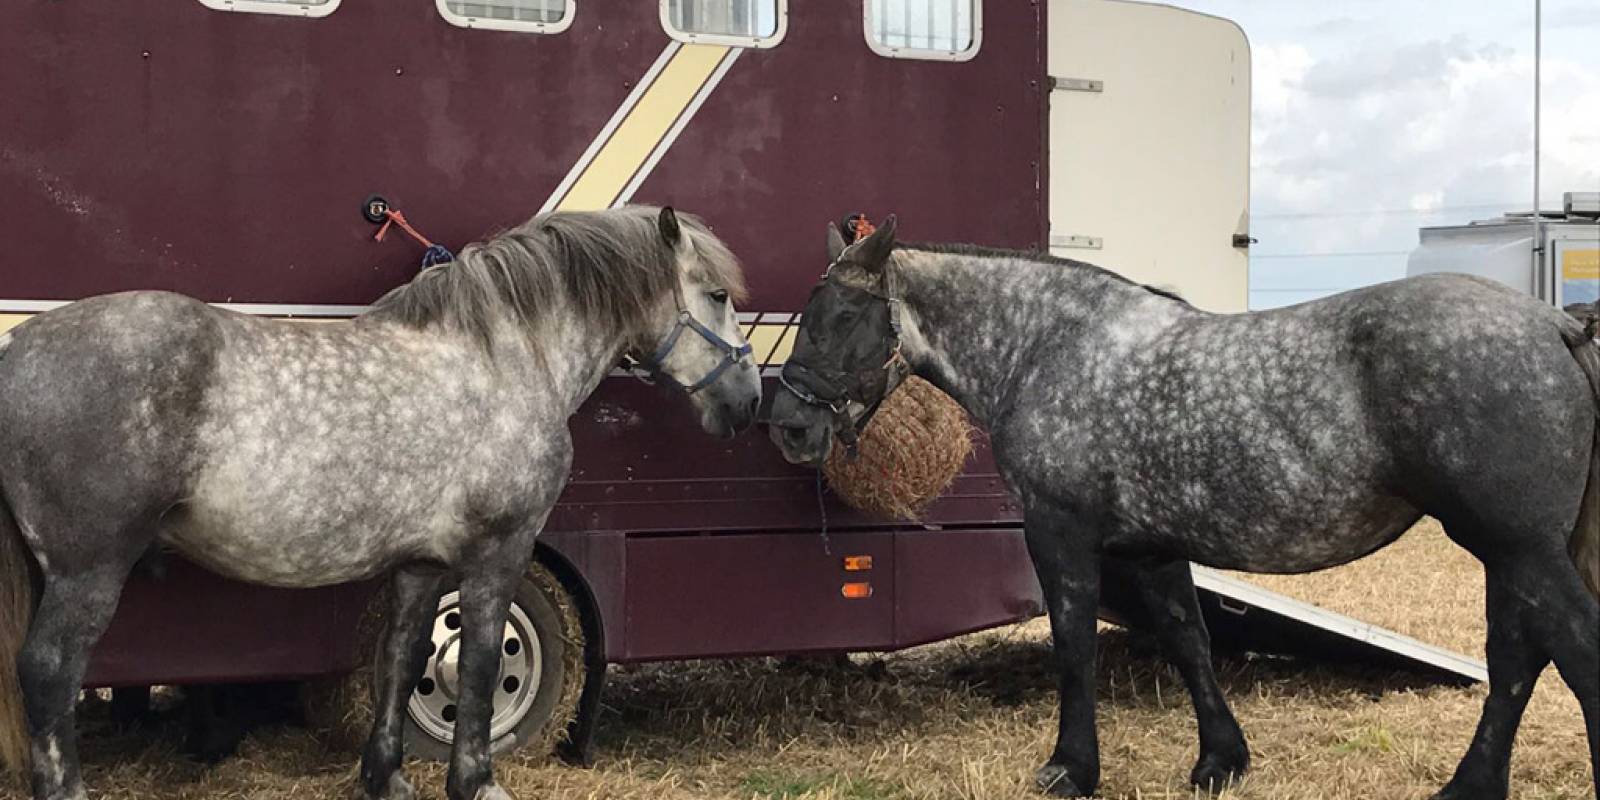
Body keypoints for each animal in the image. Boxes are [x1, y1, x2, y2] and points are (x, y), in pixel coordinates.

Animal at [0, 204, 761, 800]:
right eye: (717, 295)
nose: (748, 400)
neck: (504, 359)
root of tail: (17, 355)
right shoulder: (500, 549)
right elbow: (478, 662)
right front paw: (476, 781)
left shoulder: (420, 563)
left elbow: (404, 655)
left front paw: (387, 776)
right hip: (87, 572)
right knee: (49, 674)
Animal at [768, 217, 1593, 800]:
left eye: (843, 316)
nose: (791, 425)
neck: (1048, 348)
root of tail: (1557, 326)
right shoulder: (1152, 547)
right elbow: (1189, 640)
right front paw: (1220, 761)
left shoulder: (1061, 534)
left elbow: (1075, 648)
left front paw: (1071, 770)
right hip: (1511, 553)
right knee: (1518, 658)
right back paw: (1468, 786)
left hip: (1518, 547)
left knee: (1567, 648)